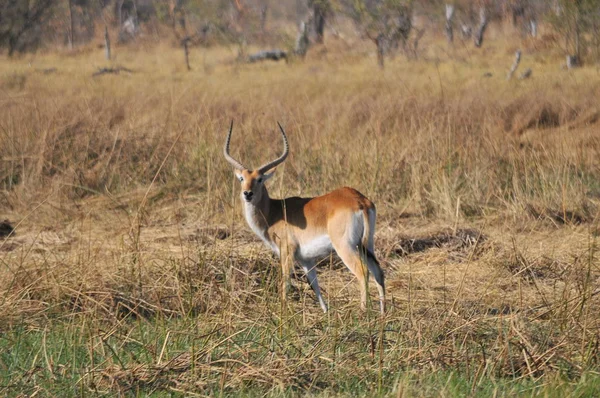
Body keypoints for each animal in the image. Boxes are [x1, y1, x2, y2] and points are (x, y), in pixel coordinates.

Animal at [224, 121, 384, 314]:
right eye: (242, 178)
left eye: (260, 179)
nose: (247, 193)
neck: (274, 212)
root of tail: (360, 201)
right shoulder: (306, 259)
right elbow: (315, 285)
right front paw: (325, 313)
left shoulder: (287, 252)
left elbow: (285, 283)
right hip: (366, 245)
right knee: (378, 271)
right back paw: (384, 313)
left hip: (345, 247)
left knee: (363, 272)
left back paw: (362, 312)